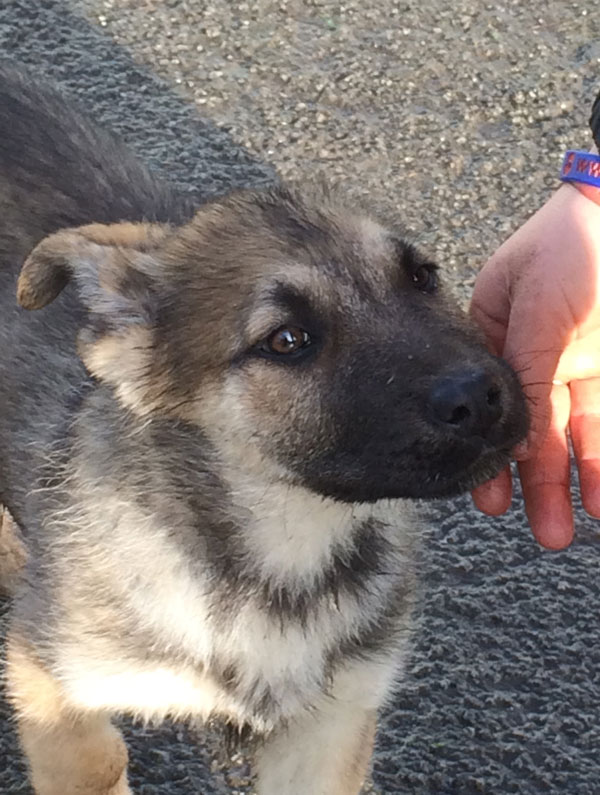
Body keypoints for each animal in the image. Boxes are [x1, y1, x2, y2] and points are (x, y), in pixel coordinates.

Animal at [0, 63, 524, 795]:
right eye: (286, 340)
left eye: (422, 277)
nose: (482, 396)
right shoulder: (52, 683)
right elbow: (99, 762)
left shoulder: (332, 721)